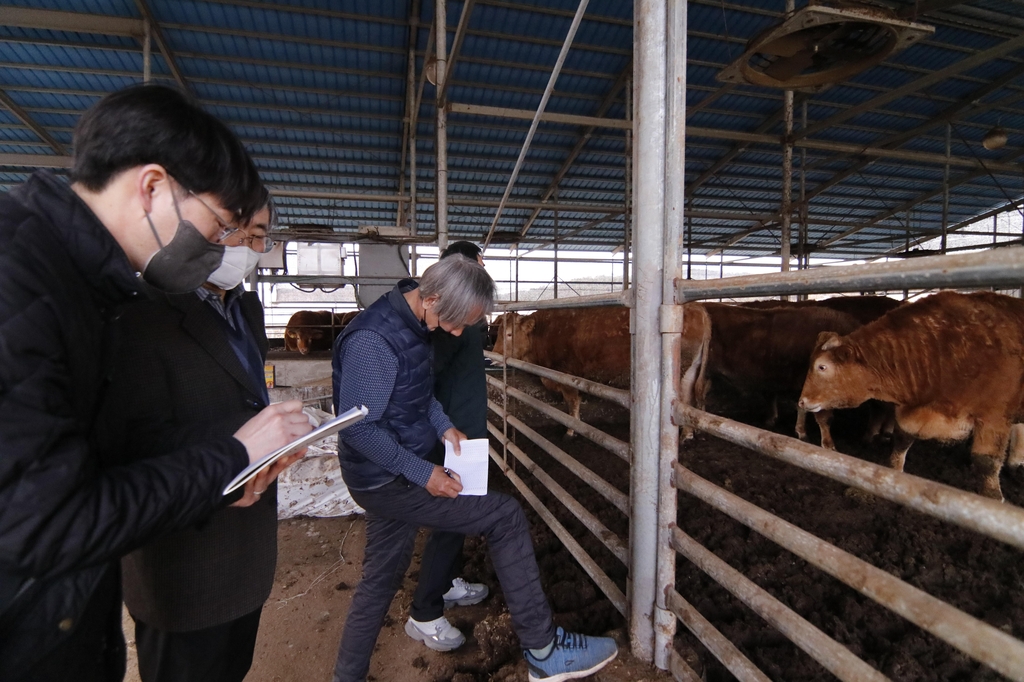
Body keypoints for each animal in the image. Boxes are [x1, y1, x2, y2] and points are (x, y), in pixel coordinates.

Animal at [798, 288, 1024, 497]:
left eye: (822, 366)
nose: (802, 401)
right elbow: (901, 441)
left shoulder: (994, 418)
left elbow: (986, 463)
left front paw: (992, 499)